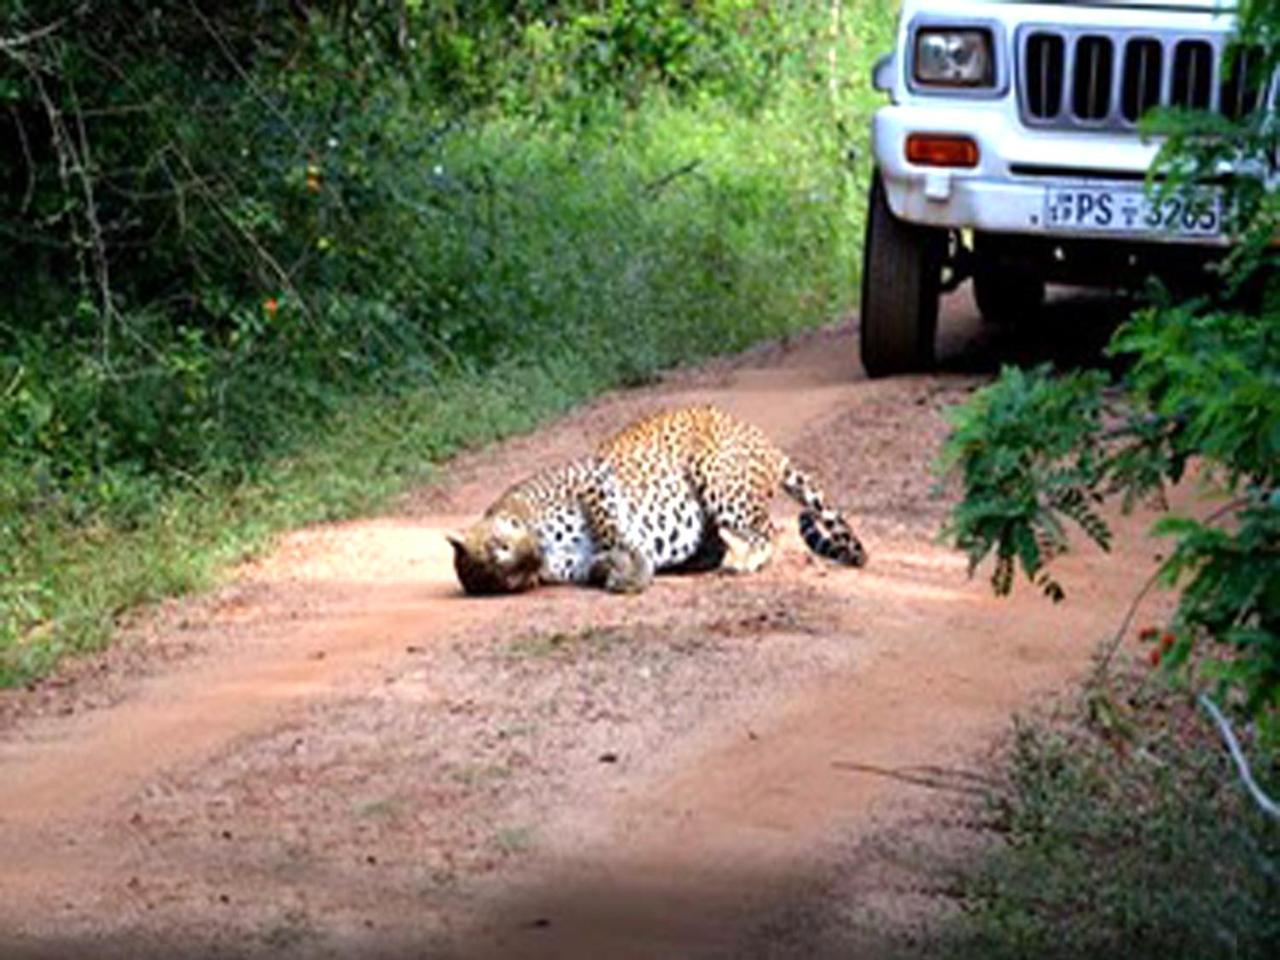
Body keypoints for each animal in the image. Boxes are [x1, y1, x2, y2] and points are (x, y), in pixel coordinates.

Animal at [445, 404, 865, 599]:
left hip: (714, 474)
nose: (533, 559)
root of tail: (765, 442)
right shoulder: (573, 564)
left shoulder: (592, 479)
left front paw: (634, 569)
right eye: (510, 579)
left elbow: (614, 531)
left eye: (501, 547)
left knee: (766, 529)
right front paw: (616, 570)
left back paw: (743, 561)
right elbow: (598, 561)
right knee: (718, 544)